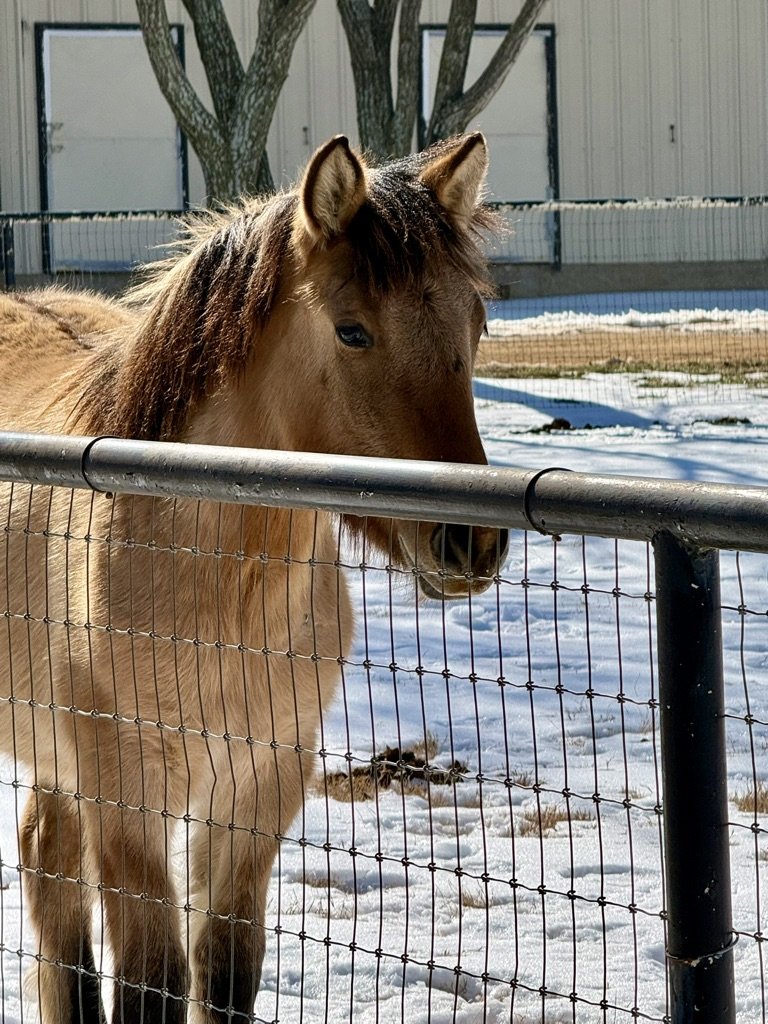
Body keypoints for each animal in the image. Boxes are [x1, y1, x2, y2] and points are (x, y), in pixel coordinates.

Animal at [0, 133, 508, 1022]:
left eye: (475, 321)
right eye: (352, 331)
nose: (470, 541)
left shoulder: (257, 789)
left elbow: (226, 971)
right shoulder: (129, 796)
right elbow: (153, 979)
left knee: (46, 859)